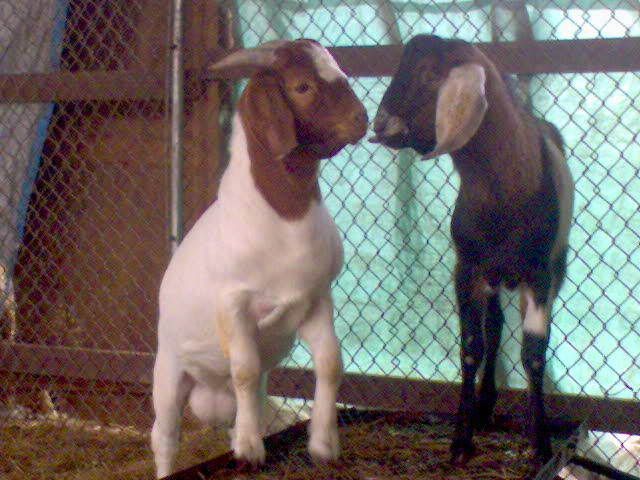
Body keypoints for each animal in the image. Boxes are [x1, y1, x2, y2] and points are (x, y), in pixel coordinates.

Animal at [151, 39, 368, 478]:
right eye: (302, 86)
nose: (362, 118)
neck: (283, 220)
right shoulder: (233, 303)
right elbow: (246, 369)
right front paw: (252, 449)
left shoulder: (315, 298)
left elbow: (330, 361)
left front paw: (323, 443)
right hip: (167, 373)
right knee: (165, 438)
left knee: (236, 410)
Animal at [370, 34, 574, 466]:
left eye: (431, 74)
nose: (380, 124)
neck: (503, 194)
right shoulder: (467, 269)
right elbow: (471, 348)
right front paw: (461, 442)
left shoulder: (540, 275)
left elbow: (533, 353)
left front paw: (541, 444)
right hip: (492, 277)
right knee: (495, 327)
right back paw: (484, 406)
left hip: (551, 267)